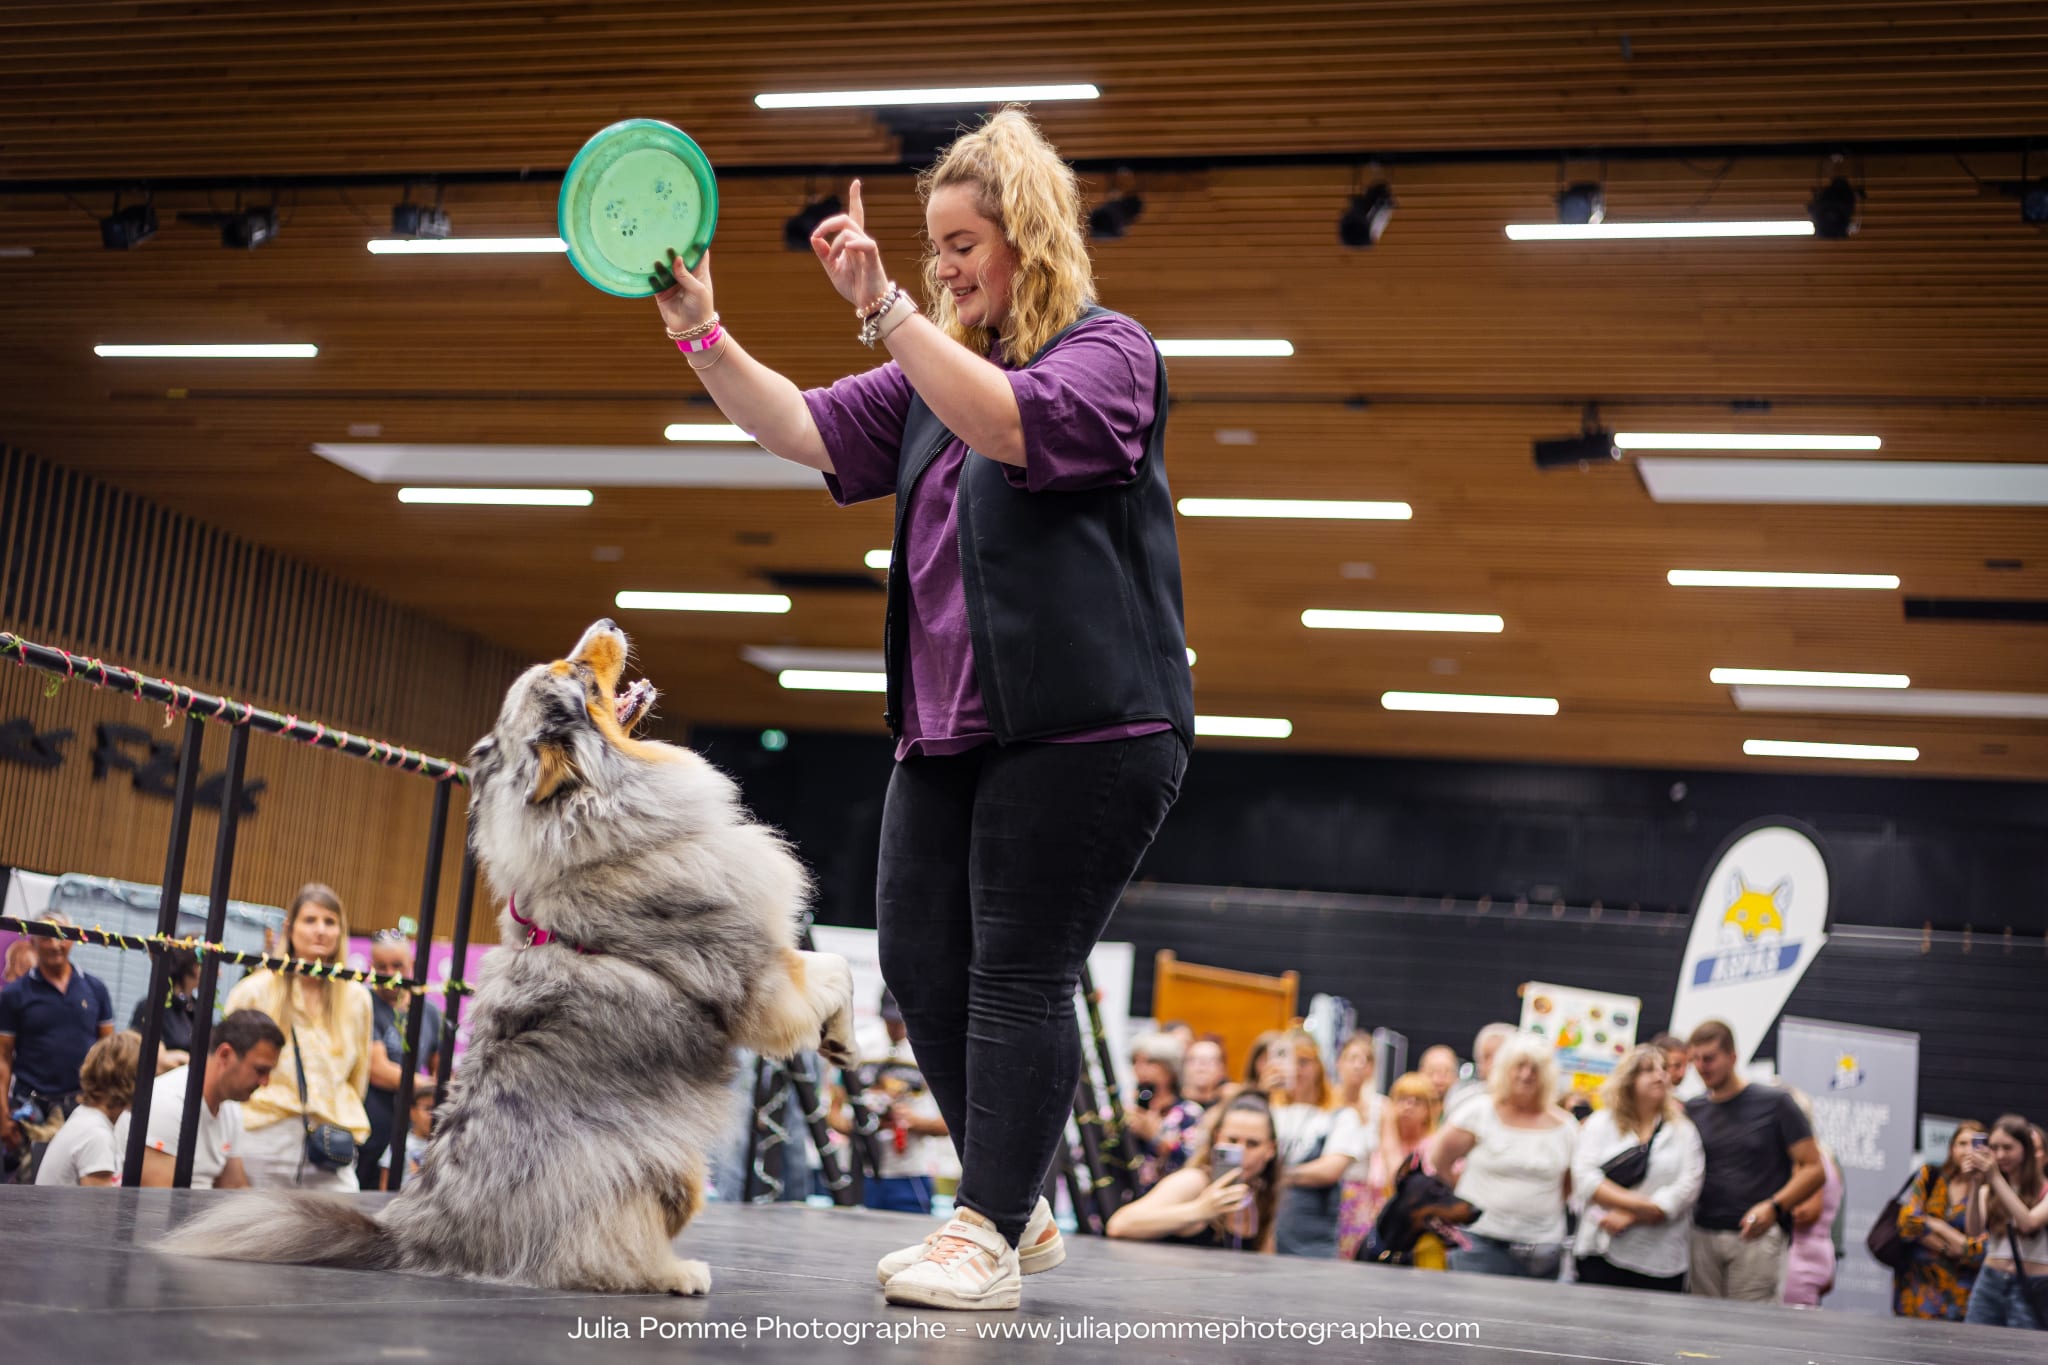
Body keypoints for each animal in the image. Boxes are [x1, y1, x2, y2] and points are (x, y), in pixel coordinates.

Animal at [159, 626, 856, 1301]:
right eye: (580, 679)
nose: (608, 622)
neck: (608, 830)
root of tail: (416, 1234)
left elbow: (835, 970)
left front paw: (840, 1039)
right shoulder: (758, 979)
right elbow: (836, 971)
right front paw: (842, 1039)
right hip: (665, 1167)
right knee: (599, 1253)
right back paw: (676, 1275)